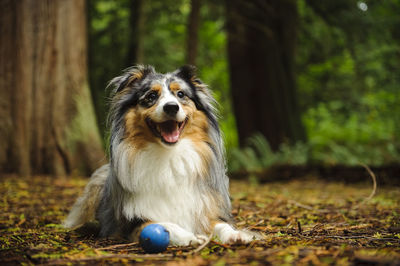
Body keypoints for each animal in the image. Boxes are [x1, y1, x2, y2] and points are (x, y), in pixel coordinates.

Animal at [63, 65, 255, 246]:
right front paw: (192, 237)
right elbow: (164, 224)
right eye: (151, 96)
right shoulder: (133, 221)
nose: (171, 107)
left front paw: (236, 235)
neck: (169, 156)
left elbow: (221, 224)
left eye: (180, 94)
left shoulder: (205, 209)